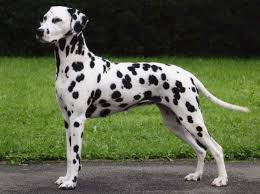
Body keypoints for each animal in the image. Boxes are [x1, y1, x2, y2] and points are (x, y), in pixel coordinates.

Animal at [35, 5, 249, 189]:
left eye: (57, 20)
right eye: (44, 18)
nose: (39, 31)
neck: (73, 64)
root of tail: (187, 74)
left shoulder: (78, 120)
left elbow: (75, 157)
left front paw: (71, 182)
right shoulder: (67, 120)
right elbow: (69, 153)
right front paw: (67, 178)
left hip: (192, 120)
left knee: (216, 148)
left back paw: (222, 179)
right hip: (175, 123)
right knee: (201, 149)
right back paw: (196, 175)